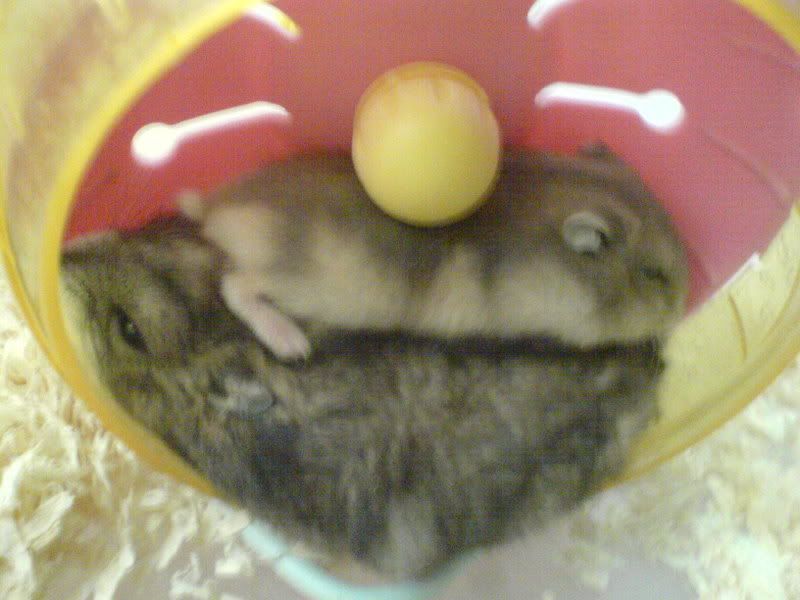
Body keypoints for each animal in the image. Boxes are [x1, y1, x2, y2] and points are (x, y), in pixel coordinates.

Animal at [181, 143, 689, 361]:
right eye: (653, 274)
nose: (682, 308)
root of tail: (214, 205)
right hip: (296, 281)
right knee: (235, 286)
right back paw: (292, 344)